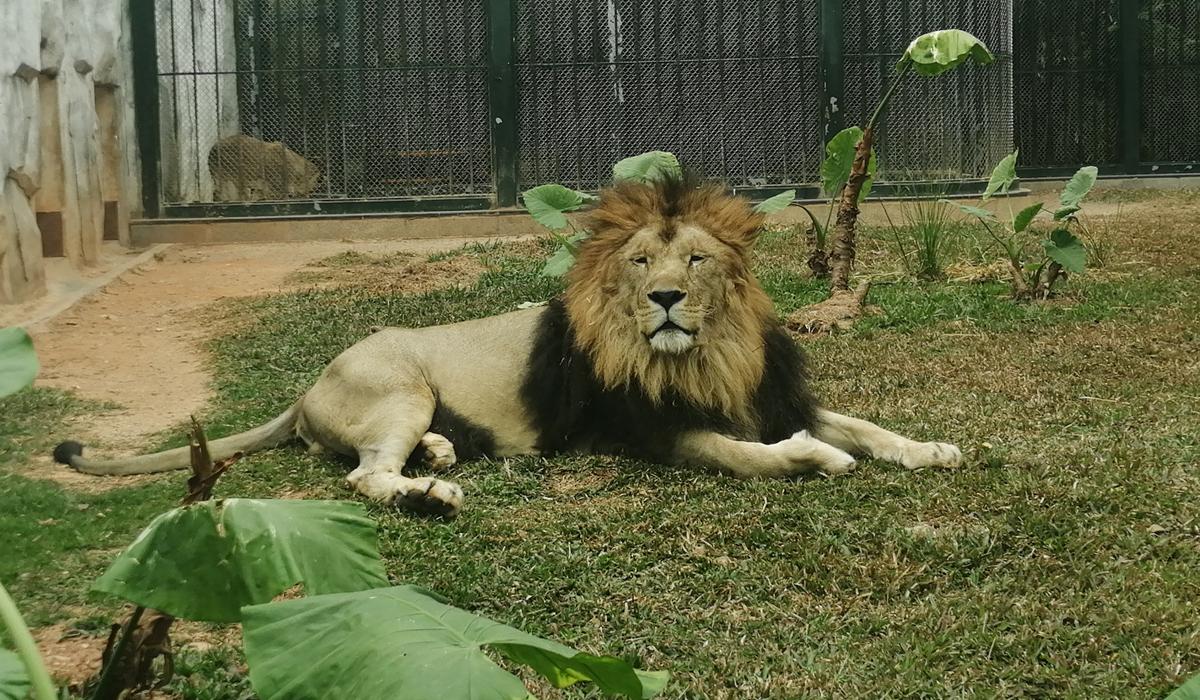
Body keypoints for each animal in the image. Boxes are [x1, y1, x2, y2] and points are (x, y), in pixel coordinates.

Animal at [54, 172, 964, 518]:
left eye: (696, 260)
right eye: (642, 262)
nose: (666, 298)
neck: (712, 349)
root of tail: (305, 388)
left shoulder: (774, 395)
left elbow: (866, 425)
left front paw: (933, 449)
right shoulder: (657, 431)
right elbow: (763, 455)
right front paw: (820, 459)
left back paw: (440, 452)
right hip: (400, 382)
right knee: (363, 475)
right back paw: (430, 491)